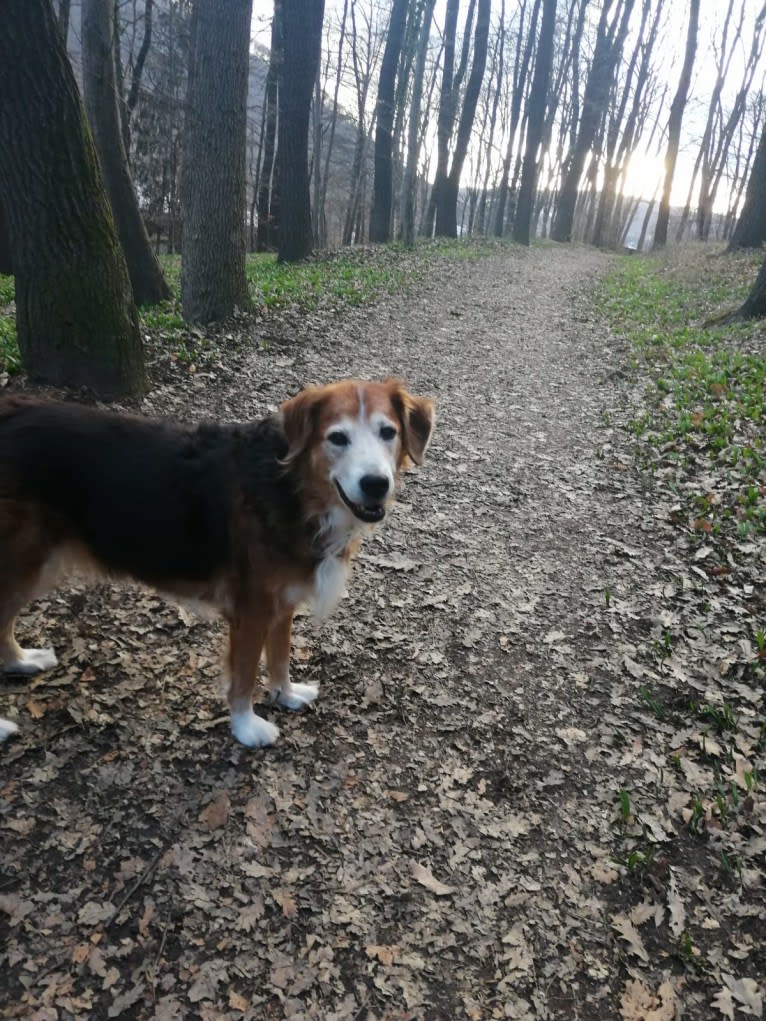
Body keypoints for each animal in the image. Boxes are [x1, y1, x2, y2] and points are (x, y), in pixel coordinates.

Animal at [0, 379, 435, 747]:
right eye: (337, 438)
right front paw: (245, 726)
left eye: (388, 433)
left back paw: (20, 661)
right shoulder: (251, 609)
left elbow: (279, 656)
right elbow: (244, 673)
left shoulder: (282, 603)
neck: (293, 488)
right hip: (22, 564)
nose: (376, 484)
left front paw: (285, 694)